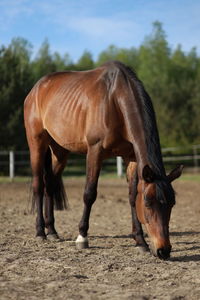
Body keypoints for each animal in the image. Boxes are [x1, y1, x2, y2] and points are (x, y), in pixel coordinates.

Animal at [23, 61, 183, 260]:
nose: (164, 250)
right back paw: (40, 232)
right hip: (37, 143)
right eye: (148, 203)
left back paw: (52, 231)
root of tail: (36, 88)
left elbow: (132, 196)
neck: (114, 99)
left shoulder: (132, 158)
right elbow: (89, 193)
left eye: (172, 203)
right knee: (39, 185)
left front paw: (140, 241)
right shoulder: (95, 151)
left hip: (59, 151)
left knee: (50, 185)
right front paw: (82, 237)